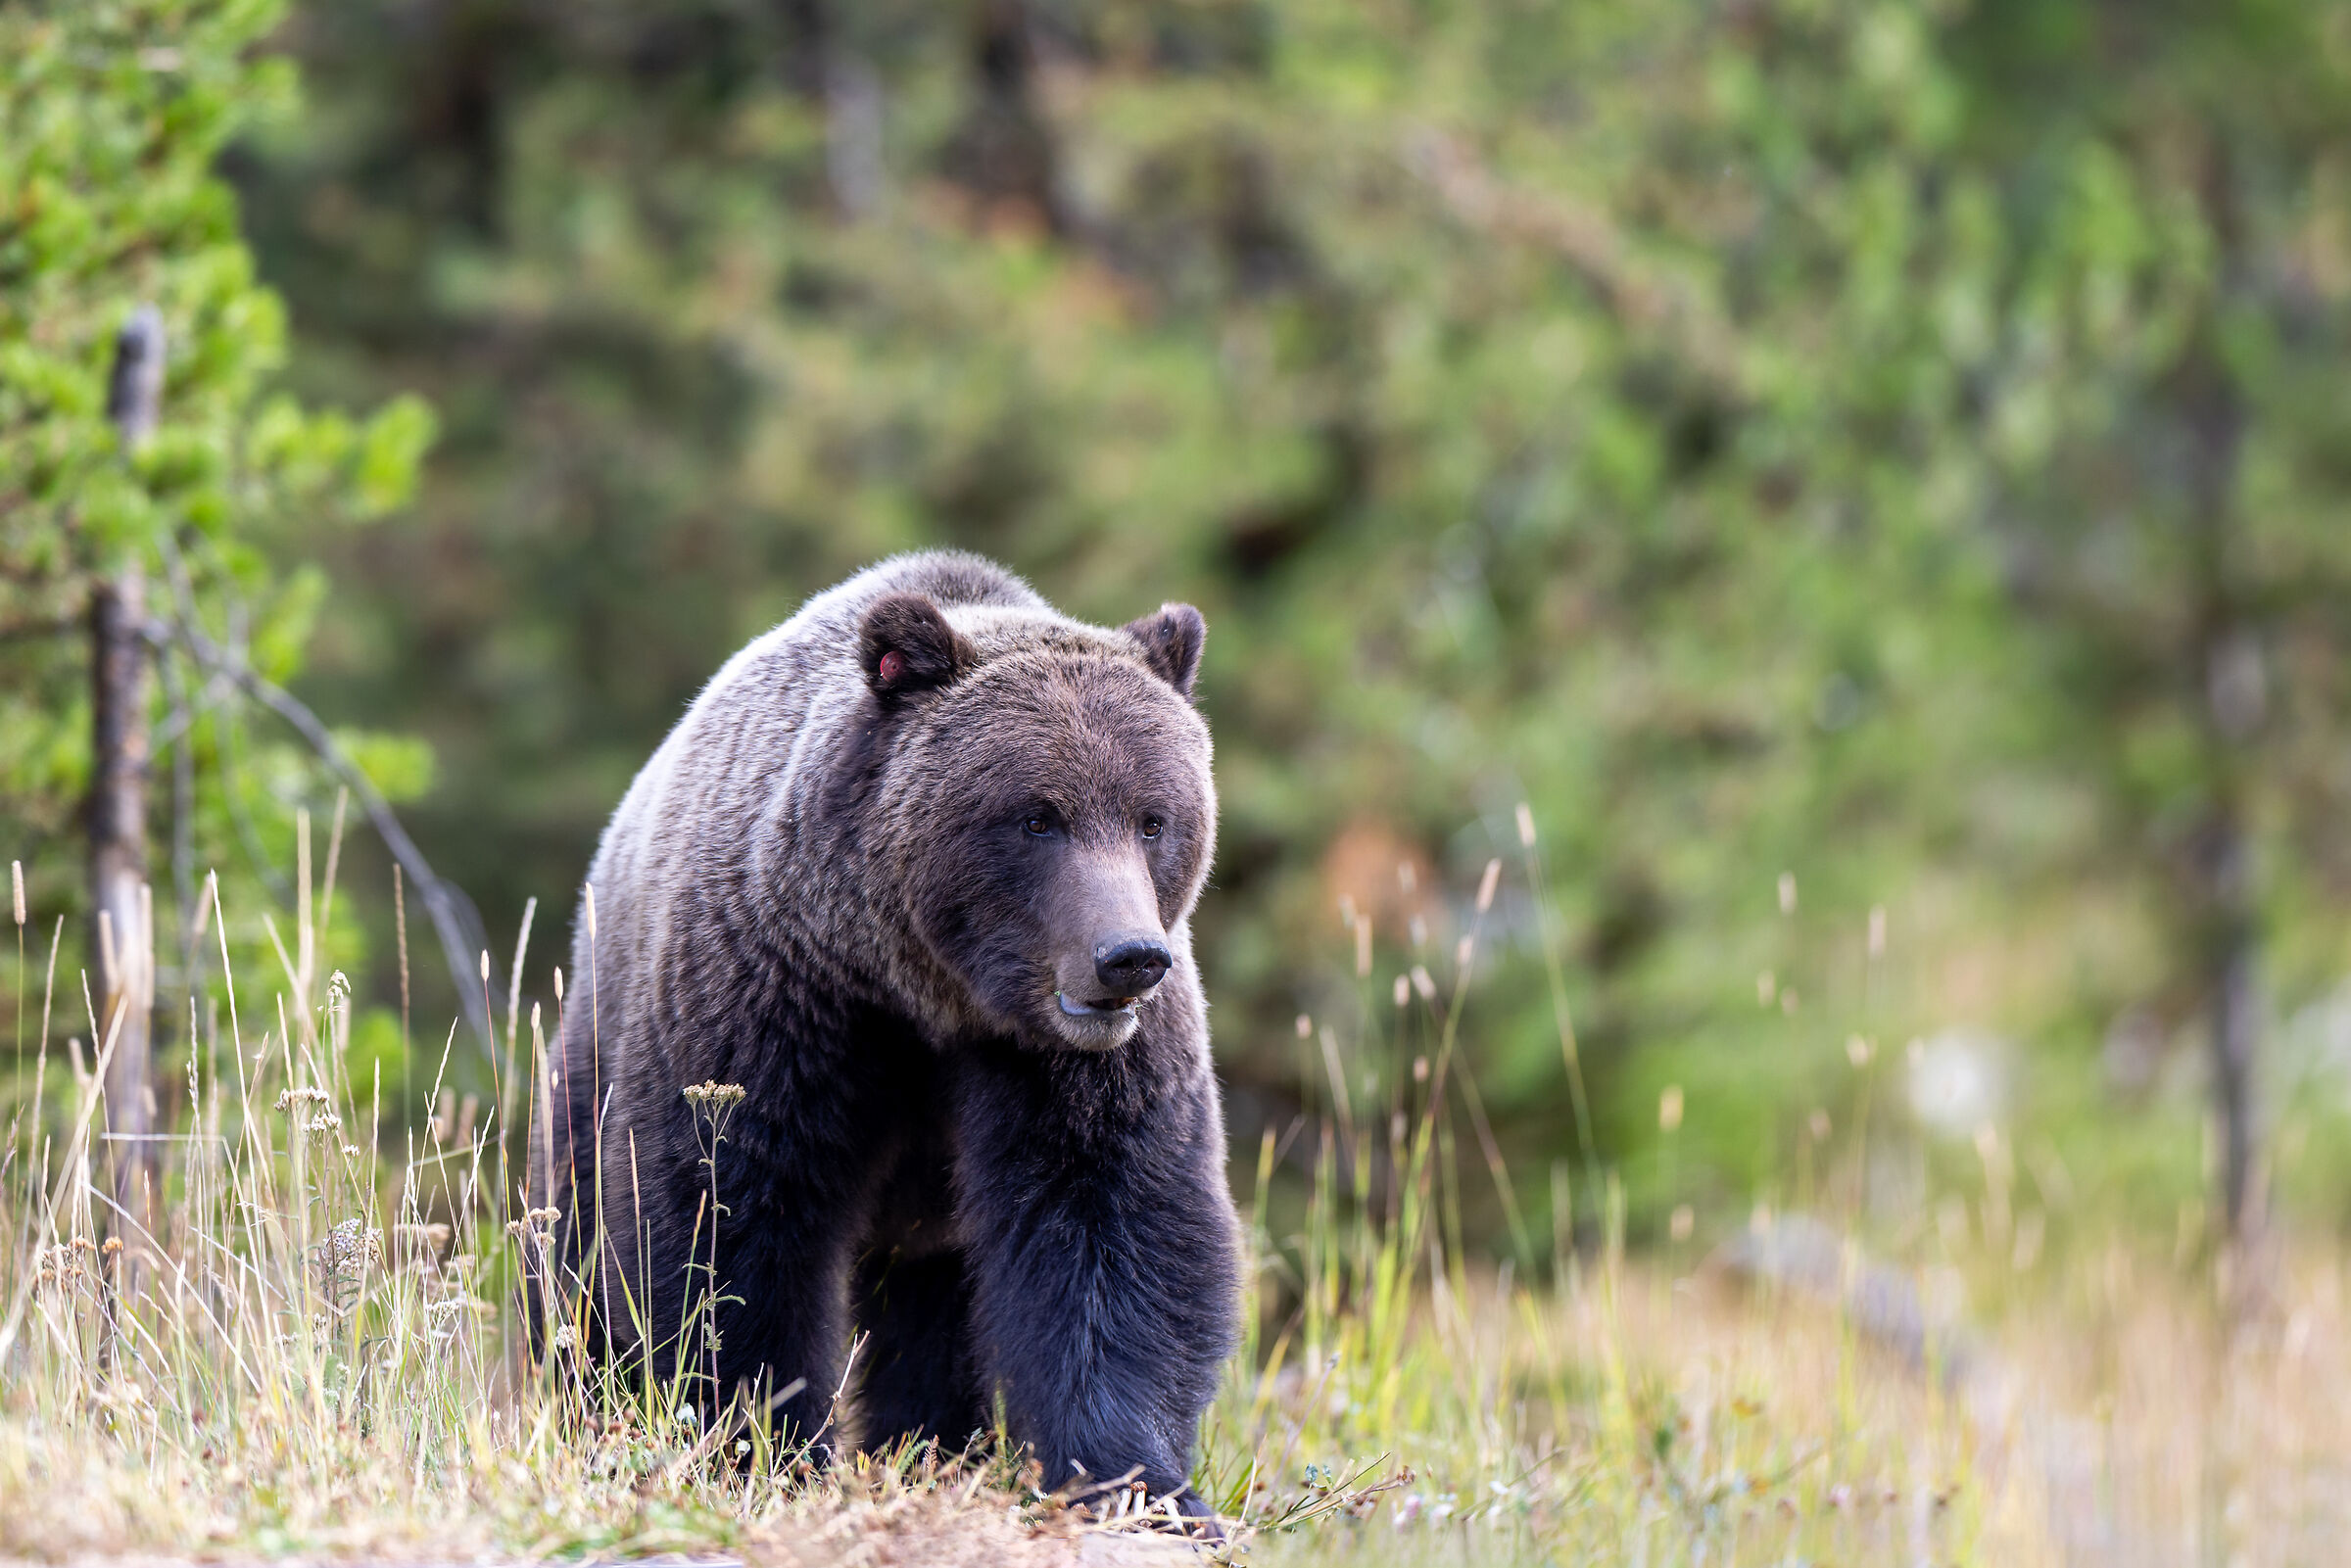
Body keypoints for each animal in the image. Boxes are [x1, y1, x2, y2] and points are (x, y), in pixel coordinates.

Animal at [529, 551, 1240, 1523]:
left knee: (936, 1309)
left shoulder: (1072, 1064)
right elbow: (727, 1218)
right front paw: (758, 1446)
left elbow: (1115, 1224)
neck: (929, 990)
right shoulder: (777, 999)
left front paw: (1138, 1482)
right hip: (593, 1046)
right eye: (1038, 816)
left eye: (1153, 816)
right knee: (575, 1246)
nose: (1128, 957)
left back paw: (934, 1443)